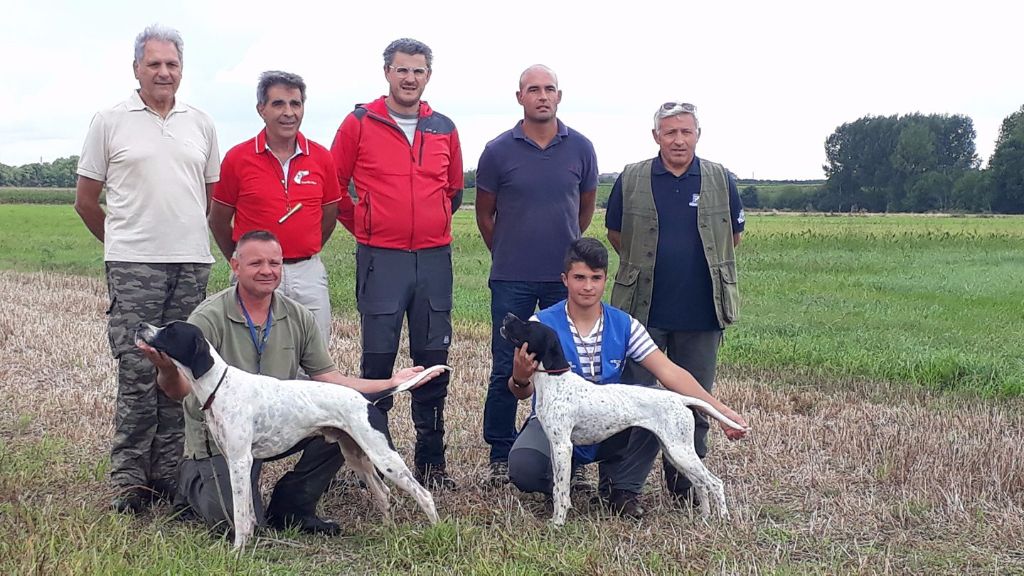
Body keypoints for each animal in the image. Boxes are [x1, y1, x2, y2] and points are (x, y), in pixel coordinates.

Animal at [136, 317, 444, 545]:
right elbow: (248, 513)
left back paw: (435, 531)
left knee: (423, 494)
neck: (220, 386)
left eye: (171, 330)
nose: (140, 325)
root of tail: (367, 398)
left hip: (383, 456)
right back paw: (388, 530)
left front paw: (237, 551)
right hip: (357, 455)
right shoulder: (239, 462)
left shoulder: (239, 462)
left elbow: (240, 514)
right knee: (383, 493)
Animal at [497, 311, 745, 522]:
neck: (556, 381)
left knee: (715, 483)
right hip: (675, 451)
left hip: (680, 451)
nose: (507, 315)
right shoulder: (555, 445)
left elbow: (561, 490)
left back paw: (723, 519)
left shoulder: (562, 446)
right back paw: (704, 517)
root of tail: (679, 398)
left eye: (528, 325)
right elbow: (557, 486)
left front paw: (558, 522)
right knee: (702, 484)